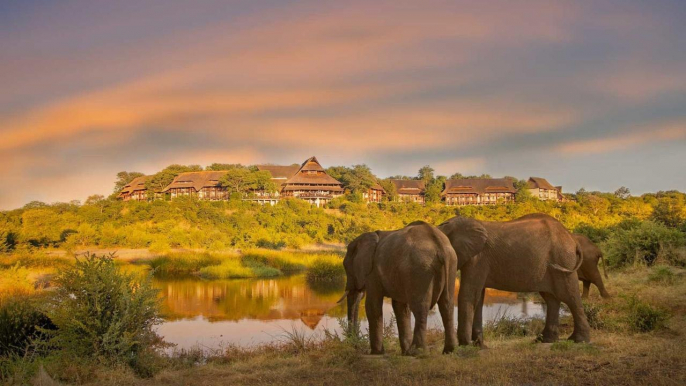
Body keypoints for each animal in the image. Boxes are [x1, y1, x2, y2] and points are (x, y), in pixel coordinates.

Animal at [342, 222, 460, 354]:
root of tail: (439, 244)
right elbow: (400, 307)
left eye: (346, 266)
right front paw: (405, 353)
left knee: (420, 307)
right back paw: (449, 351)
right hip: (451, 264)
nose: (355, 345)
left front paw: (376, 352)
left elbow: (372, 306)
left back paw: (418, 352)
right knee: (447, 305)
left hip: (420, 268)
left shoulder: (372, 273)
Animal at [440, 213, 592, 346]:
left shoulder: (477, 259)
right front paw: (480, 346)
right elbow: (478, 297)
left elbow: (469, 294)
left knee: (570, 296)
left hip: (563, 259)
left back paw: (579, 340)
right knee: (551, 299)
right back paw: (545, 340)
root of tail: (572, 239)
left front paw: (466, 345)